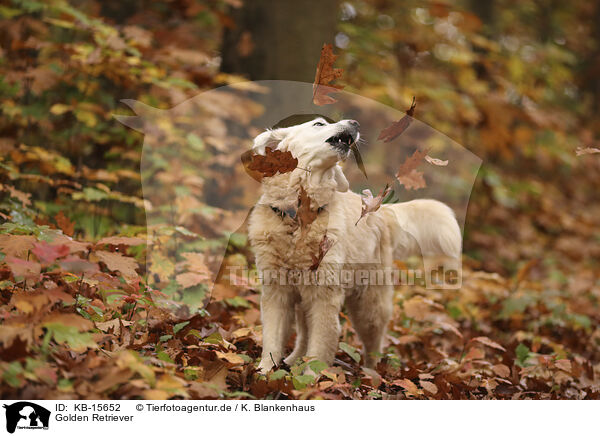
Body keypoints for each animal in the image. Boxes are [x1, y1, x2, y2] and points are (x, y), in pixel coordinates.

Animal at [246, 116, 462, 372]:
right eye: (318, 124)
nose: (355, 122)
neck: (299, 218)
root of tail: (379, 211)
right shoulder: (277, 292)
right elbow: (273, 339)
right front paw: (264, 372)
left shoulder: (324, 296)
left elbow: (319, 348)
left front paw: (311, 378)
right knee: (304, 335)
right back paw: (293, 361)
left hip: (368, 305)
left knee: (374, 344)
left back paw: (371, 372)